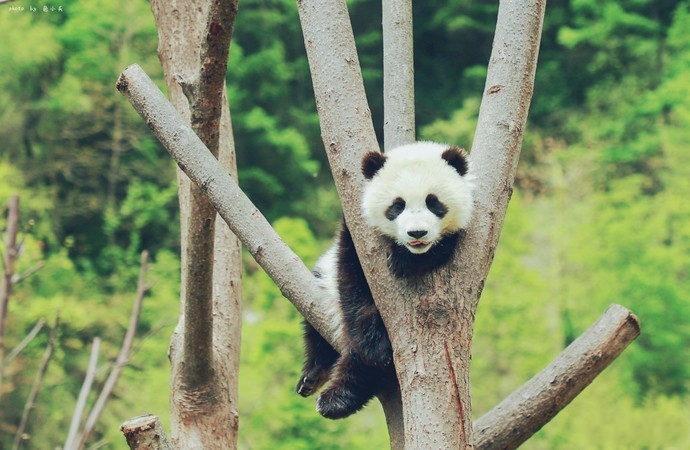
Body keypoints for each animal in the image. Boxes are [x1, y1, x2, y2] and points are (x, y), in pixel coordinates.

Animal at [292, 142, 470, 420]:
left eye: (433, 203)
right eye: (397, 205)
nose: (417, 233)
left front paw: (403, 262)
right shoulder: (355, 235)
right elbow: (352, 280)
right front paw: (374, 343)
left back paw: (338, 398)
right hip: (325, 284)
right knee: (315, 331)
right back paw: (314, 378)